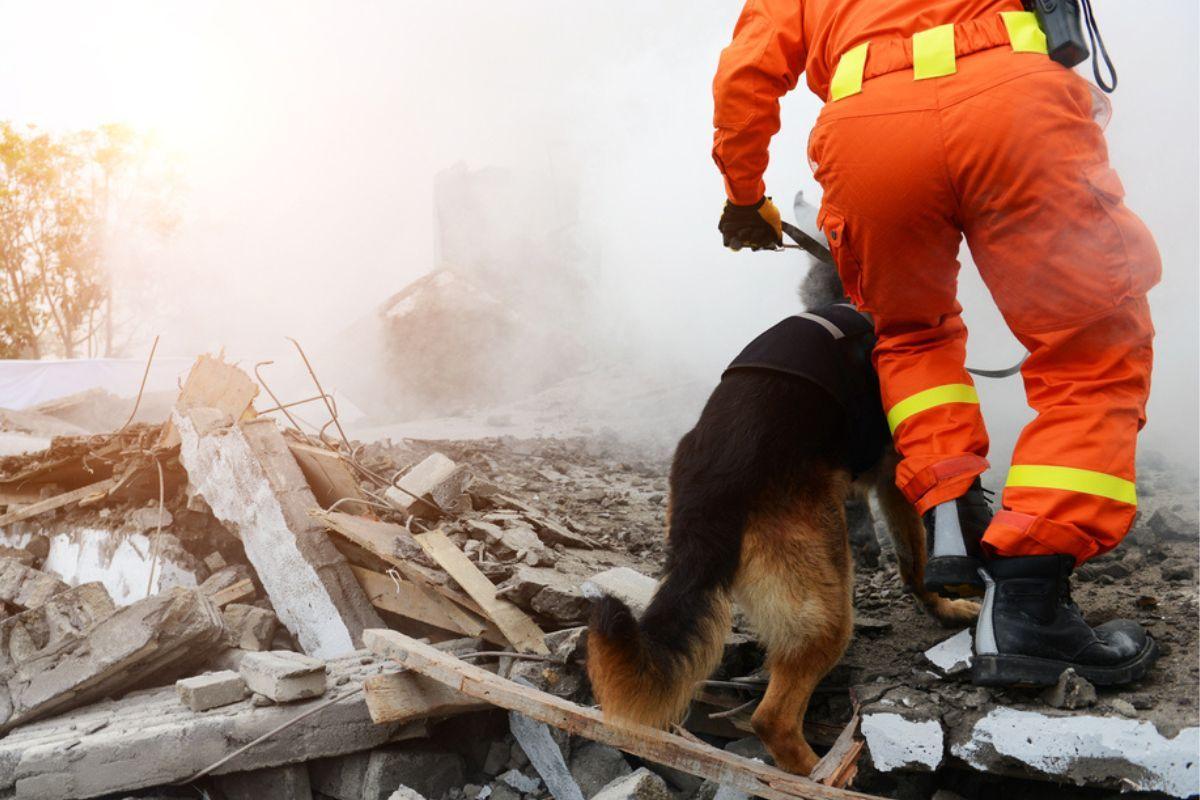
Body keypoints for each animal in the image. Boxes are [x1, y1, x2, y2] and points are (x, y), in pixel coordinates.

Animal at [585, 262, 979, 777]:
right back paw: (824, 774)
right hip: (825, 604)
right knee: (772, 718)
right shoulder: (897, 473)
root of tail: (712, 487)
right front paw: (944, 606)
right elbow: (915, 558)